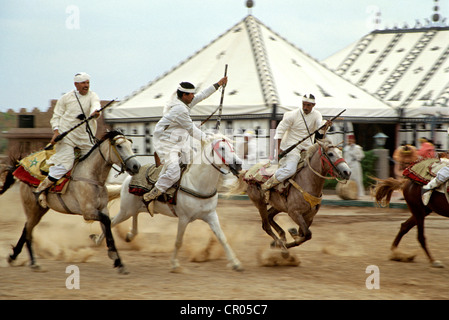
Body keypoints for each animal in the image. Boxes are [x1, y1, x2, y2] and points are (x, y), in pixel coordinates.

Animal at [92, 134, 243, 272]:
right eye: (222, 148)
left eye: (233, 146)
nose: (239, 164)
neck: (196, 183)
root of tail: (127, 180)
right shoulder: (184, 218)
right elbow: (178, 241)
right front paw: (175, 264)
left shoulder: (211, 215)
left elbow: (222, 238)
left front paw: (235, 263)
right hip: (126, 210)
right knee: (112, 221)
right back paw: (99, 241)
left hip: (136, 208)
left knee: (133, 218)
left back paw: (129, 235)